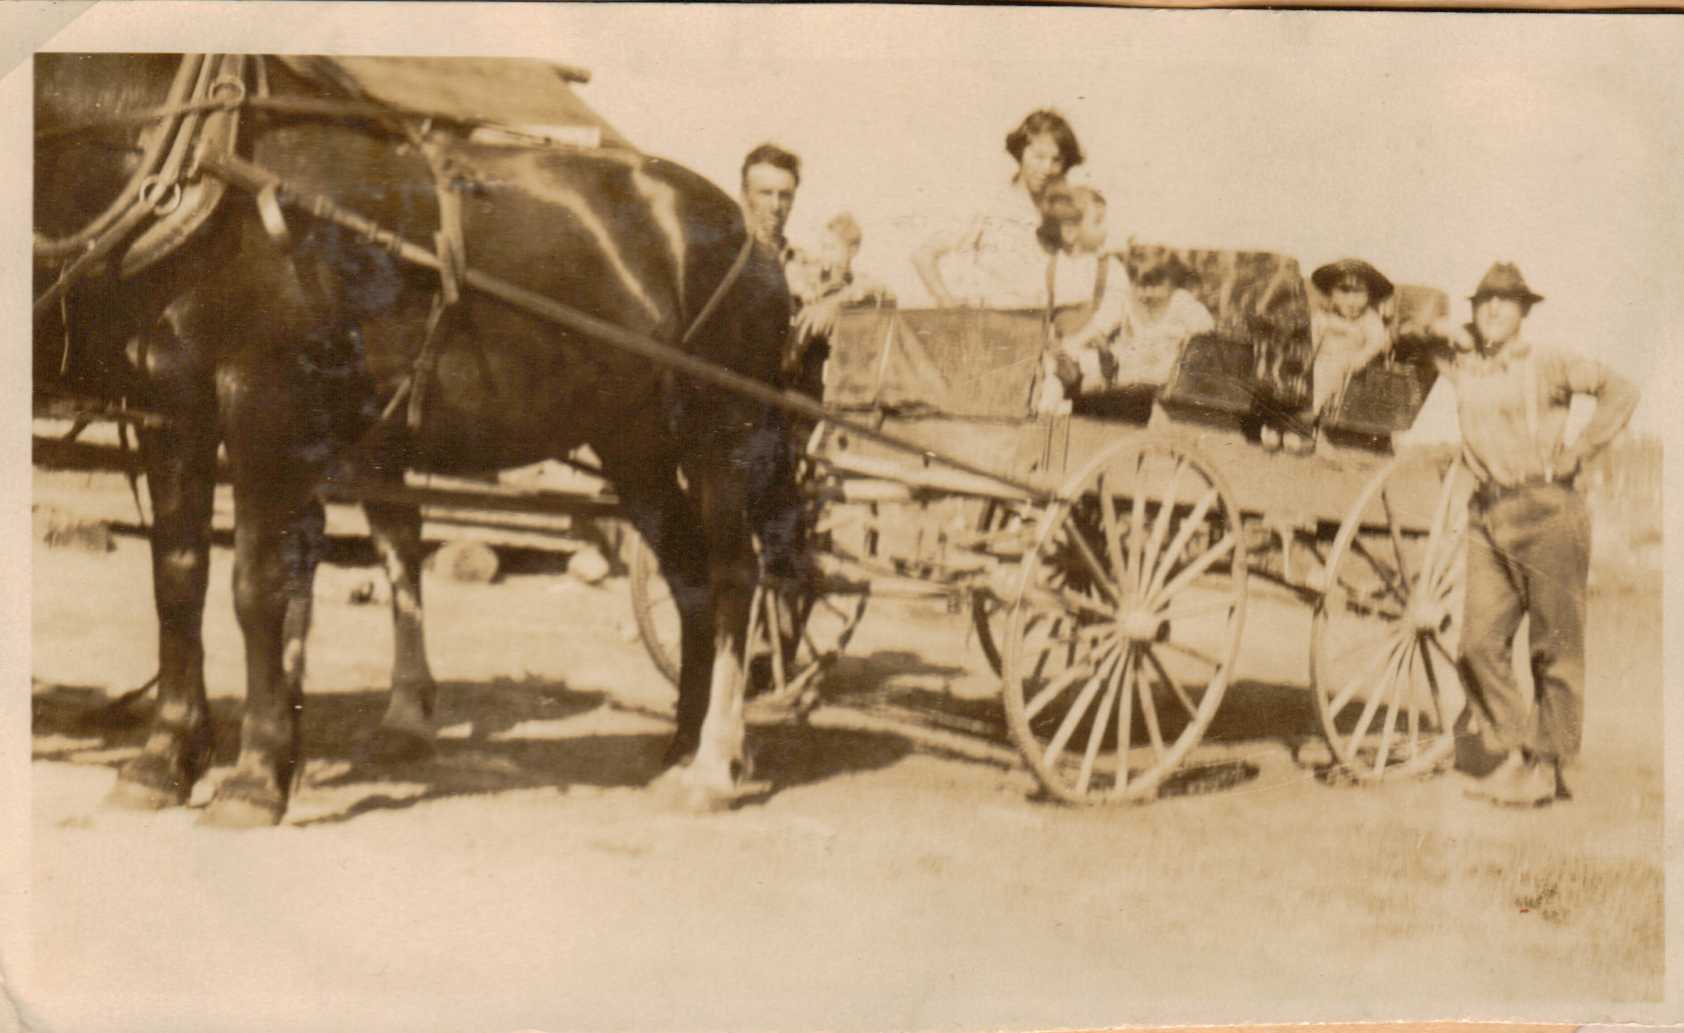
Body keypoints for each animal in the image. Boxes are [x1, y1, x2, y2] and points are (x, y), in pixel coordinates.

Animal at [34, 56, 794, 825]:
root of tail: (749, 232)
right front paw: (160, 763)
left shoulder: (265, 409)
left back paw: (713, 767)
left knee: (735, 576)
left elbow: (257, 590)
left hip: (723, 435)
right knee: (689, 576)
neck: (203, 162)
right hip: (634, 446)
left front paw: (253, 778)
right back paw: (682, 743)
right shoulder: (171, 413)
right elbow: (178, 581)